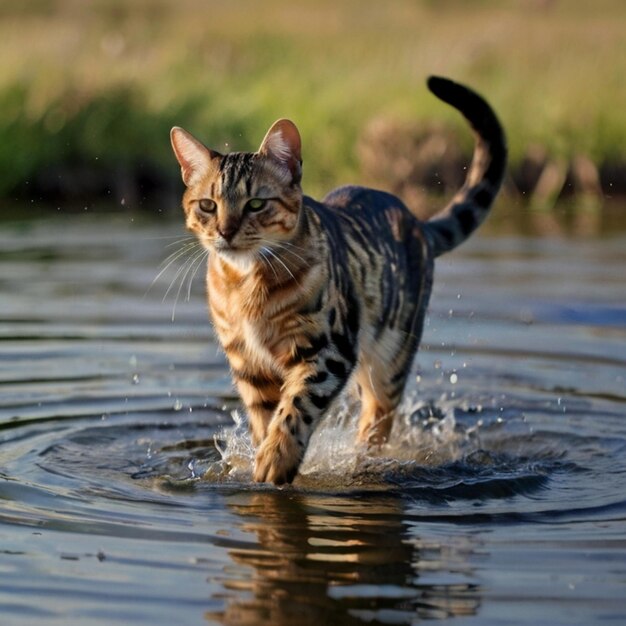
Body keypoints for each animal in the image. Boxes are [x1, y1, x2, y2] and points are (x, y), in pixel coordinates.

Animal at [168, 73, 504, 482]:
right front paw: (263, 455)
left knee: (379, 416)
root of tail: (417, 222)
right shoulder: (248, 364)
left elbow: (296, 408)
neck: (246, 284)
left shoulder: (330, 348)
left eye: (256, 204)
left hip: (389, 355)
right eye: (207, 205)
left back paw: (364, 456)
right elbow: (265, 419)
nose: (225, 231)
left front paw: (276, 459)